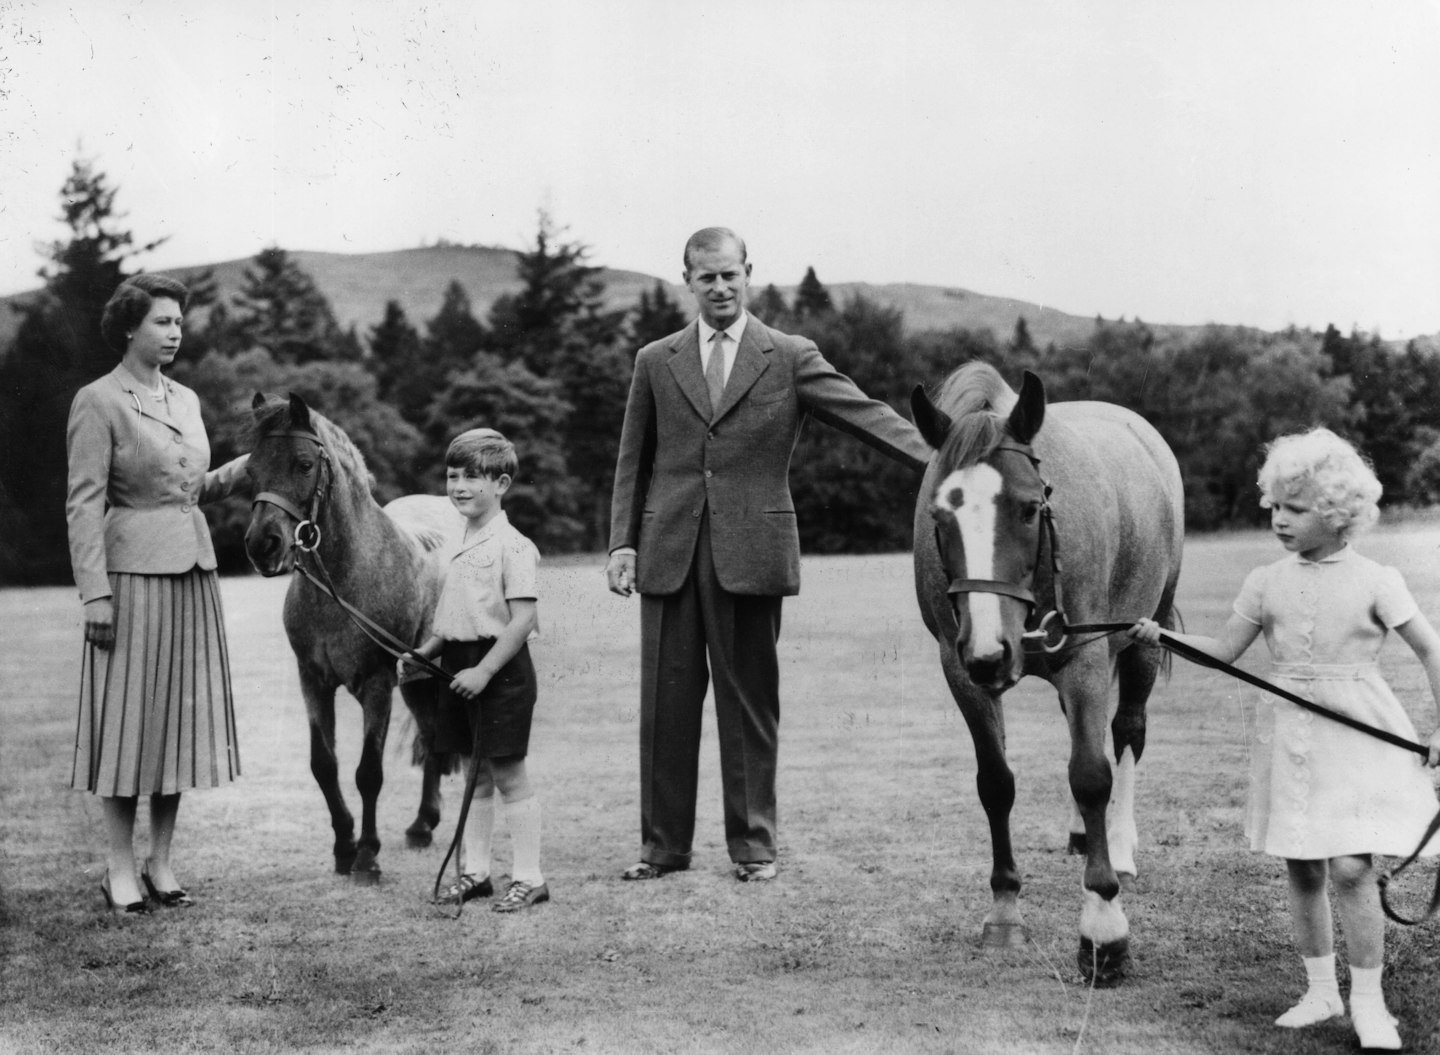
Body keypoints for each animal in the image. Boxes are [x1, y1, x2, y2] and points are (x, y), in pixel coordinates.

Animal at [241, 394, 455, 880]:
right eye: (250, 469)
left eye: (303, 464)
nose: (262, 545)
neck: (343, 580)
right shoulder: (313, 682)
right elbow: (324, 764)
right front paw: (343, 846)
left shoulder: (376, 685)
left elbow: (368, 772)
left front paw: (367, 856)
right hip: (416, 678)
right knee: (432, 736)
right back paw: (422, 825)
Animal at [910, 362, 1180, 978]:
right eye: (940, 516)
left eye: (1030, 508)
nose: (990, 651)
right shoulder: (959, 670)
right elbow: (995, 782)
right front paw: (1005, 909)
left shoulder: (1085, 658)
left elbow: (1091, 774)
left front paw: (1103, 927)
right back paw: (1085, 832)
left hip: (1143, 633)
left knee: (1127, 732)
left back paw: (1118, 844)